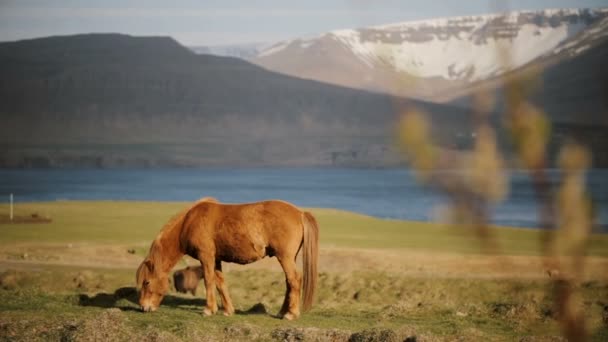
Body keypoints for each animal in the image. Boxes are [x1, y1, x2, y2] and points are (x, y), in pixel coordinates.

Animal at [136, 196, 320, 320]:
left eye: (147, 282)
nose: (143, 307)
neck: (189, 223)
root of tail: (300, 213)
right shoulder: (216, 259)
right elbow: (220, 283)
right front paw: (228, 310)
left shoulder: (206, 256)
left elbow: (209, 280)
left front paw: (209, 310)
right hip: (288, 257)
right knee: (289, 282)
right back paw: (282, 312)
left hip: (285, 257)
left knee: (294, 280)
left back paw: (291, 314)